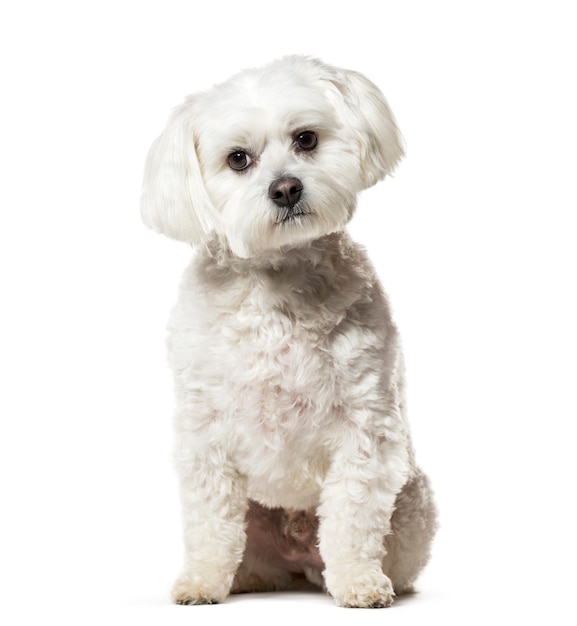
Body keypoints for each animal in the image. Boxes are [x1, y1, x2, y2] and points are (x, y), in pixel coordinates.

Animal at [141, 54, 436, 604]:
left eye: (306, 139)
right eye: (238, 159)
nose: (286, 188)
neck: (278, 283)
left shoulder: (365, 427)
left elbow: (353, 516)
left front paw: (360, 582)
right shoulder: (205, 434)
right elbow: (209, 523)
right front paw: (200, 582)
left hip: (412, 499)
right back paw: (248, 579)